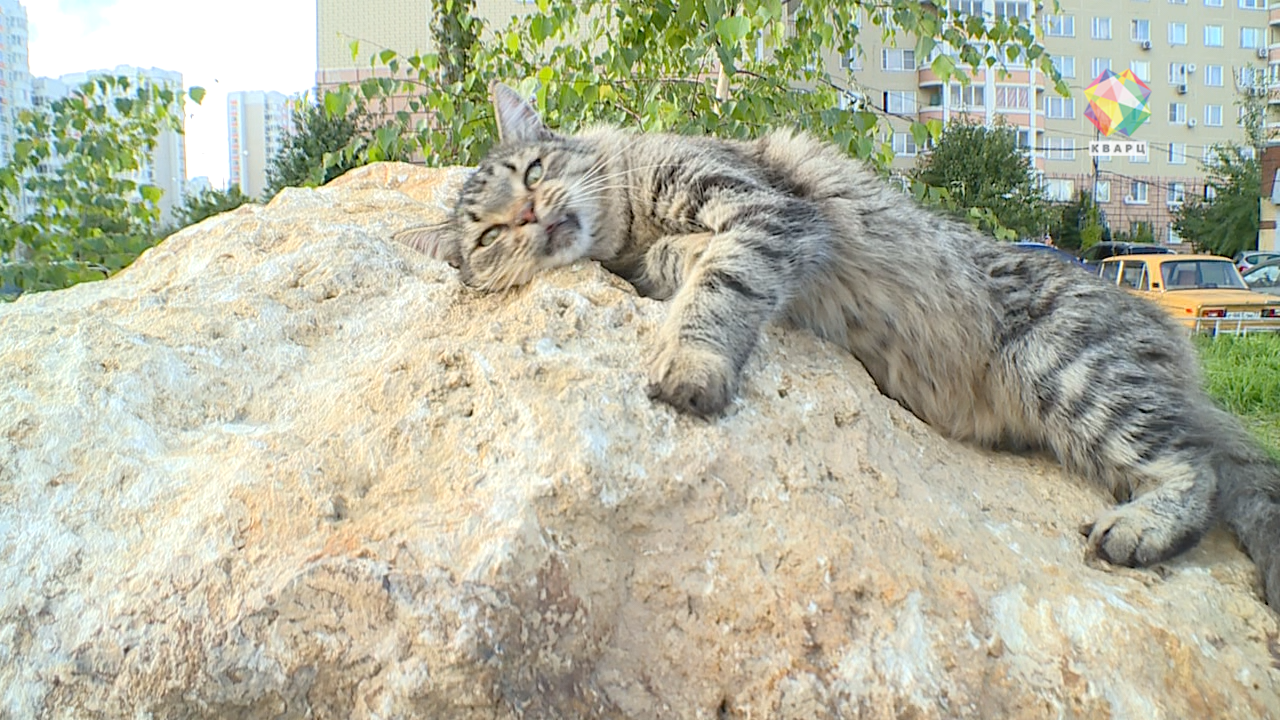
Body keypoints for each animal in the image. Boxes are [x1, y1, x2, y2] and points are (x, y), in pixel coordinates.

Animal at [396, 81, 1280, 602]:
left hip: (1068, 370)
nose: (528, 216)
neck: (633, 221)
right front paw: (671, 268)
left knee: (1194, 467)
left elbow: (721, 282)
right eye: (486, 236)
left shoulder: (767, 210)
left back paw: (1141, 528)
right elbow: (683, 265)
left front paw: (690, 360)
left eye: (534, 170)